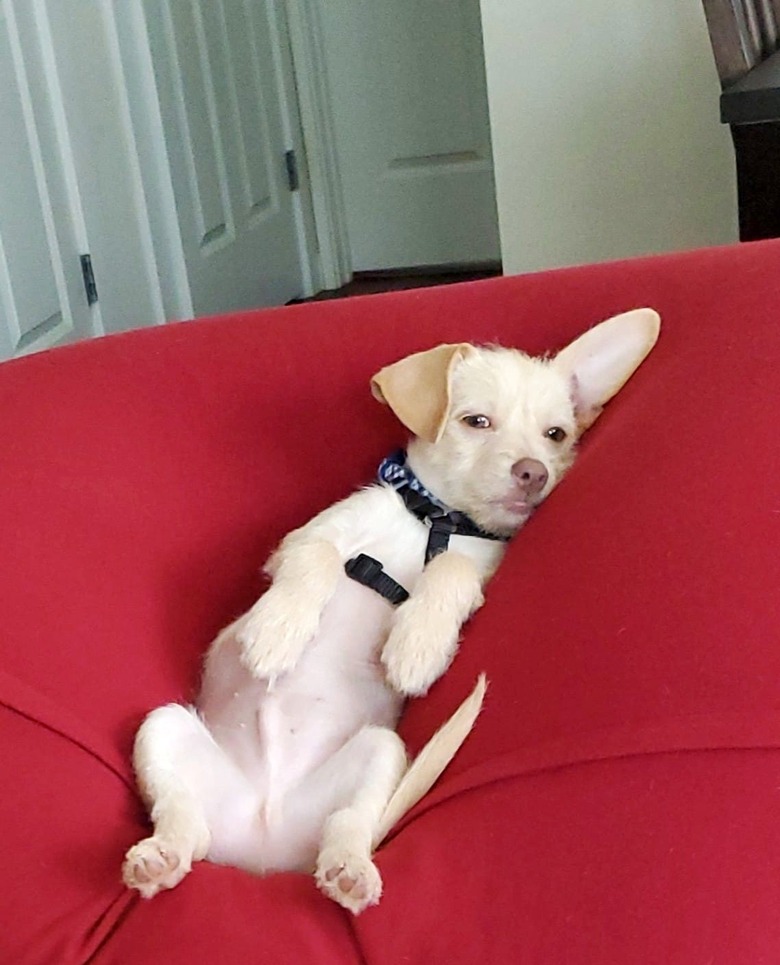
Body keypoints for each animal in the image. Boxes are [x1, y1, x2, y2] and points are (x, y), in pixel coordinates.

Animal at [120, 306, 660, 912]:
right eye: (476, 421)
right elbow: (319, 557)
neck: (434, 521)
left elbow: (453, 570)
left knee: (347, 826)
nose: (533, 472)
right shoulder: (301, 540)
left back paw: (349, 869)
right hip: (161, 728)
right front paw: (276, 632)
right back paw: (161, 856)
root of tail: (264, 850)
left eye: (556, 434)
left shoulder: (482, 566)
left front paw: (416, 643)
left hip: (380, 753)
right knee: (183, 819)